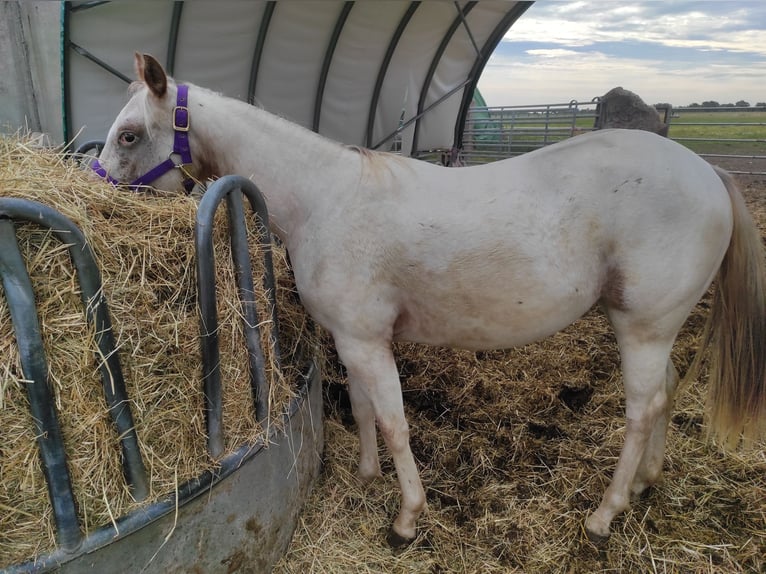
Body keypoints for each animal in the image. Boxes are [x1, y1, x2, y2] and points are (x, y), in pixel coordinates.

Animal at [96, 55, 766, 548]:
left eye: (129, 134)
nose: (94, 189)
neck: (326, 199)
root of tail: (707, 173)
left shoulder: (368, 341)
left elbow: (395, 422)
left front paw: (406, 518)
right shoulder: (352, 339)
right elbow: (364, 409)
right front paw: (367, 477)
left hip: (643, 329)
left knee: (640, 410)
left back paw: (605, 515)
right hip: (654, 329)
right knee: (665, 394)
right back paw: (649, 481)